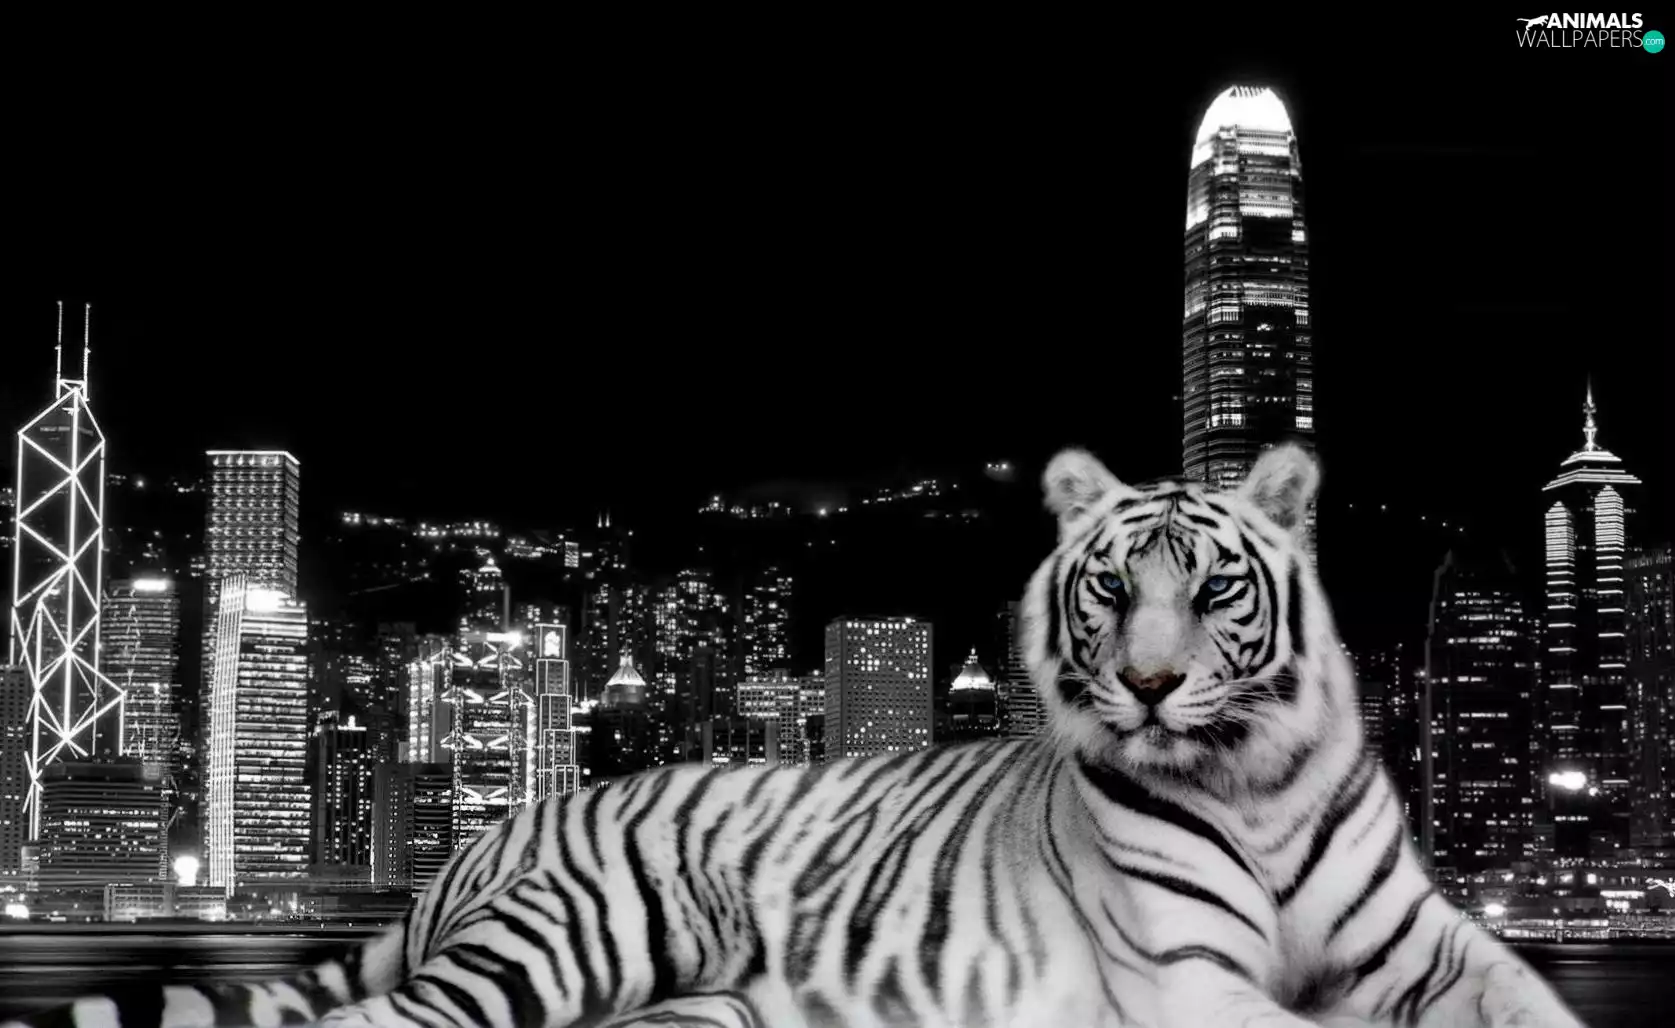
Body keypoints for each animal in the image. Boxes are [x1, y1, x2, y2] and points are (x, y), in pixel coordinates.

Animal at [2, 443, 1587, 1028]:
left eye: (1211, 588)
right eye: (1105, 588)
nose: (1143, 688)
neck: (1252, 783)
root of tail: (494, 827)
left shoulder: (1437, 948)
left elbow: (1528, 1007)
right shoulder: (1187, 974)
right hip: (574, 936)